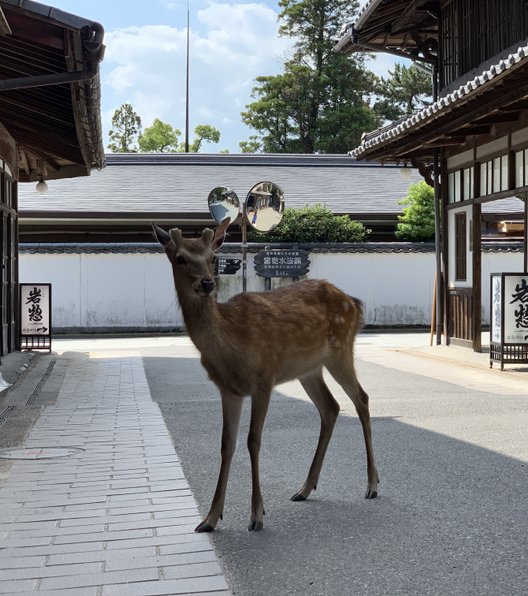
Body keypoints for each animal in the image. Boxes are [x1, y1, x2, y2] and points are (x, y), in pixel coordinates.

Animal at [153, 218, 380, 532]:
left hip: (341, 349)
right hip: (309, 369)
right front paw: (210, 518)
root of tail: (354, 303)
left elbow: (253, 440)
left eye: (213, 258)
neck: (229, 346)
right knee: (331, 407)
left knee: (362, 398)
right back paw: (304, 488)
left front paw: (257, 515)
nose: (207, 283)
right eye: (180, 258)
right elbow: (226, 444)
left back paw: (372, 485)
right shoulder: (228, 389)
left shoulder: (264, 376)